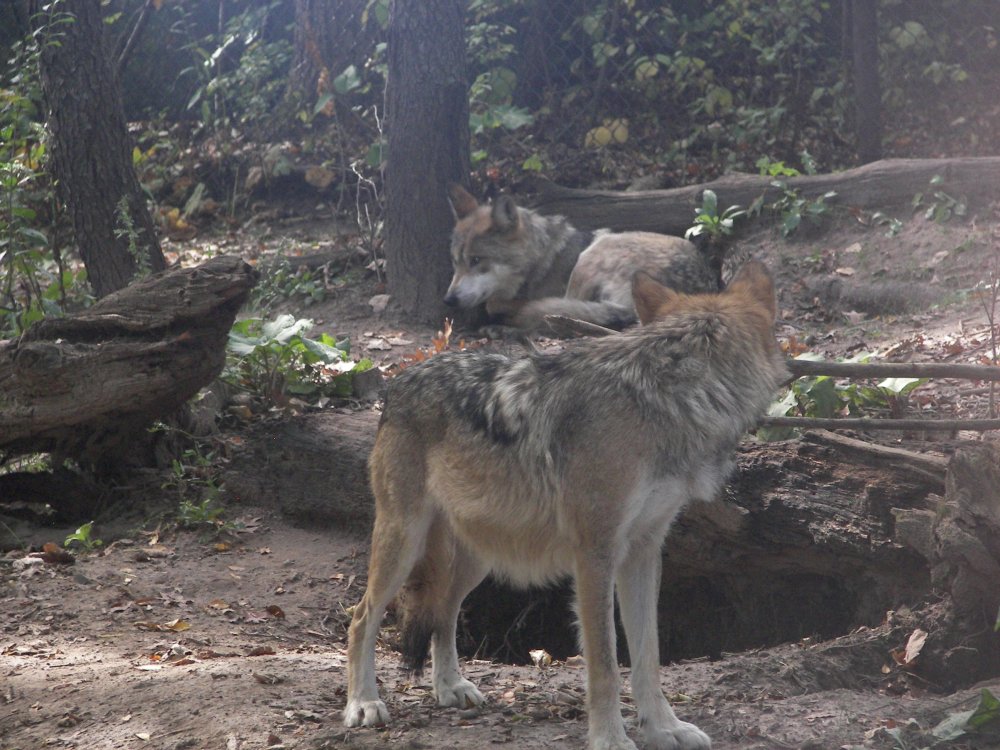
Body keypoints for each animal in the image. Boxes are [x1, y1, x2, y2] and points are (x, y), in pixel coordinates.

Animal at [344, 262, 788, 748]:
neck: (666, 398)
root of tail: (402, 379)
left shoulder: (644, 552)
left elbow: (648, 656)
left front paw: (664, 728)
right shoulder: (595, 553)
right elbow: (606, 664)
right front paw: (611, 738)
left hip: (480, 559)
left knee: (444, 613)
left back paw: (449, 688)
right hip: (404, 543)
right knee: (361, 618)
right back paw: (363, 703)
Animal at [442, 184, 716, 334]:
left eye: (476, 260)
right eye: (455, 262)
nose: (449, 300)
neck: (541, 259)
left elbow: (496, 303)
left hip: (590, 257)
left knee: (560, 316)